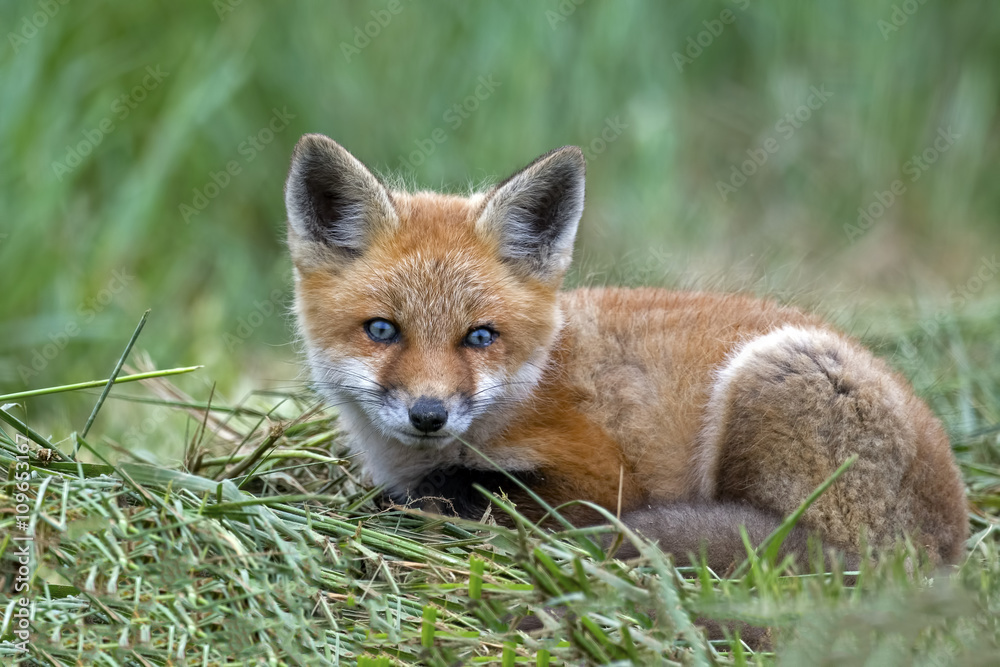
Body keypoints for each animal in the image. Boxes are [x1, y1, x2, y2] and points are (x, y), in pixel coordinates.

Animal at [284, 133, 968, 570]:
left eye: (479, 336)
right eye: (382, 330)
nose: (429, 414)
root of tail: (951, 544)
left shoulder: (599, 479)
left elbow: (479, 488)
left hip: (776, 370)